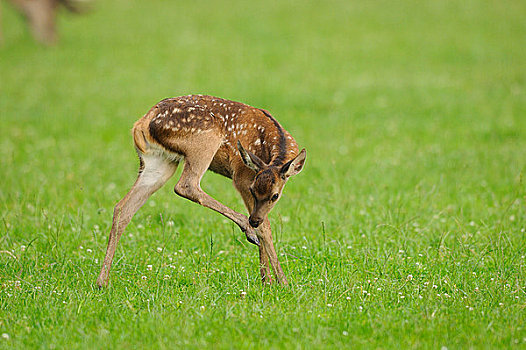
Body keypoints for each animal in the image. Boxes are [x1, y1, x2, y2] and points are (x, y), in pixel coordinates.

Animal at [97, 93, 308, 288]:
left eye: (275, 195)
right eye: (253, 190)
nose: (253, 220)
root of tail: (143, 122)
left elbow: (265, 223)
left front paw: (267, 280)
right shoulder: (241, 176)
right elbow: (266, 227)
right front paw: (280, 282)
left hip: (159, 162)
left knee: (122, 208)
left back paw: (102, 281)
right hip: (204, 141)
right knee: (186, 185)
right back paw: (247, 229)